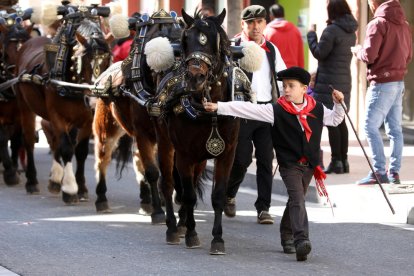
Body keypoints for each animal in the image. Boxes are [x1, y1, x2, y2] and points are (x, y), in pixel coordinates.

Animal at [14, 13, 111, 203]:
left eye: (106, 62)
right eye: (82, 61)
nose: (94, 101)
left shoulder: (86, 120)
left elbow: (79, 151)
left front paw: (81, 187)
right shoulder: (57, 115)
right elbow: (66, 148)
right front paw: (70, 189)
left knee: (54, 141)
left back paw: (55, 180)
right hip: (24, 106)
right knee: (28, 140)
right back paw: (32, 181)